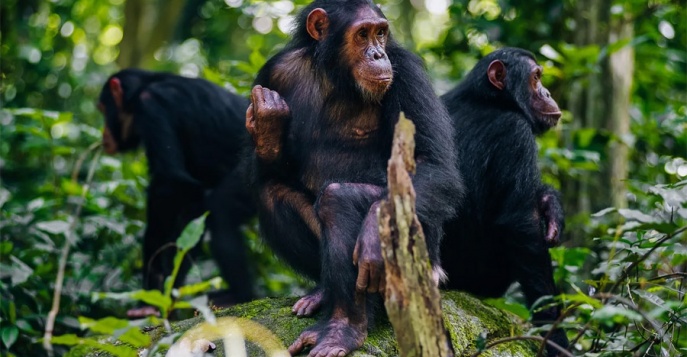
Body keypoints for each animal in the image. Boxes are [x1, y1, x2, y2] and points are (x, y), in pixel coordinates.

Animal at [98, 69, 256, 318]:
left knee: (221, 211)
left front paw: (151, 294)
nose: (103, 133)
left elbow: (171, 184)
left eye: (103, 109)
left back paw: (240, 296)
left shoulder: (151, 108)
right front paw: (167, 294)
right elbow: (193, 212)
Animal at [246, 1, 462, 354]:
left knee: (339, 199)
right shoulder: (273, 73)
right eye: (362, 34)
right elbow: (269, 173)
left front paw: (374, 232)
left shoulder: (408, 73)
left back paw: (343, 330)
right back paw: (324, 296)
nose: (377, 53)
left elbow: (434, 164)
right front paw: (268, 124)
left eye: (380, 33)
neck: (335, 74)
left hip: (424, 264)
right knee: (271, 192)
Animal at [440, 46, 568, 354]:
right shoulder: (516, 134)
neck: (489, 100)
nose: (547, 92)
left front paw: (551, 206)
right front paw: (556, 337)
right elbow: (520, 225)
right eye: (536, 78)